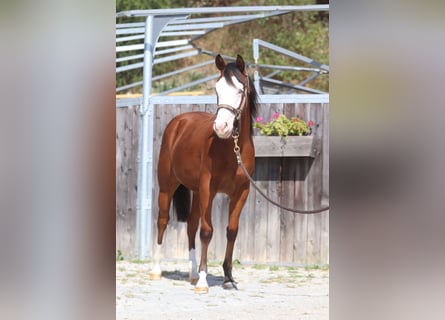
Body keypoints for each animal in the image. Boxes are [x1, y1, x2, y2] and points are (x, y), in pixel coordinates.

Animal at [150, 54, 256, 292]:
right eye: (217, 89)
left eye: (240, 90)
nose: (222, 127)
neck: (231, 148)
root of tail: (179, 122)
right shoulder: (209, 188)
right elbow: (207, 232)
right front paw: (203, 281)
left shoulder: (241, 192)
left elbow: (231, 231)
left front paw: (227, 278)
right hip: (167, 187)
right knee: (162, 221)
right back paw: (156, 270)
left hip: (197, 192)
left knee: (190, 226)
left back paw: (192, 273)